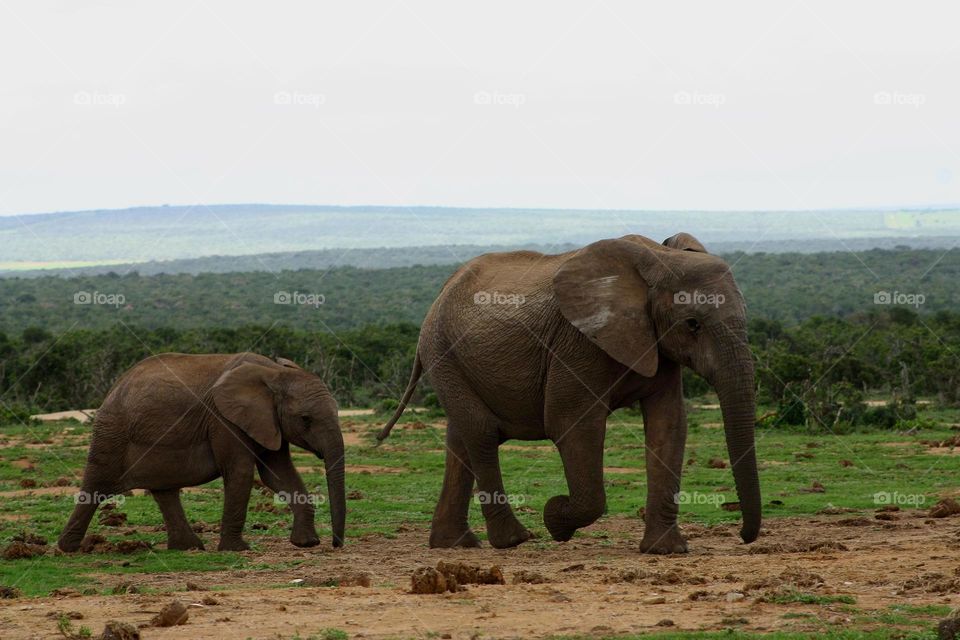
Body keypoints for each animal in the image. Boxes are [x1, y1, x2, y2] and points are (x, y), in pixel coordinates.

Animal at [58, 352, 346, 552]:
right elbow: (241, 472)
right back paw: (69, 548)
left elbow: (278, 474)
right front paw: (237, 550)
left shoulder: (268, 423)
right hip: (112, 432)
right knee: (96, 485)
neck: (273, 373)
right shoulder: (223, 419)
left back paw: (189, 547)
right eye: (306, 419)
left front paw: (306, 543)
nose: (336, 544)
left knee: (164, 490)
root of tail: (115, 386)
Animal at [377, 232, 760, 553]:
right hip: (442, 352)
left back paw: (456, 544)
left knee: (460, 439)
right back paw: (513, 541)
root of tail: (439, 295)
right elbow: (571, 425)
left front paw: (666, 551)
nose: (743, 537)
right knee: (481, 434)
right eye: (692, 324)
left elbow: (669, 427)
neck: (659, 257)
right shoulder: (577, 344)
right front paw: (555, 519)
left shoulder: (657, 346)